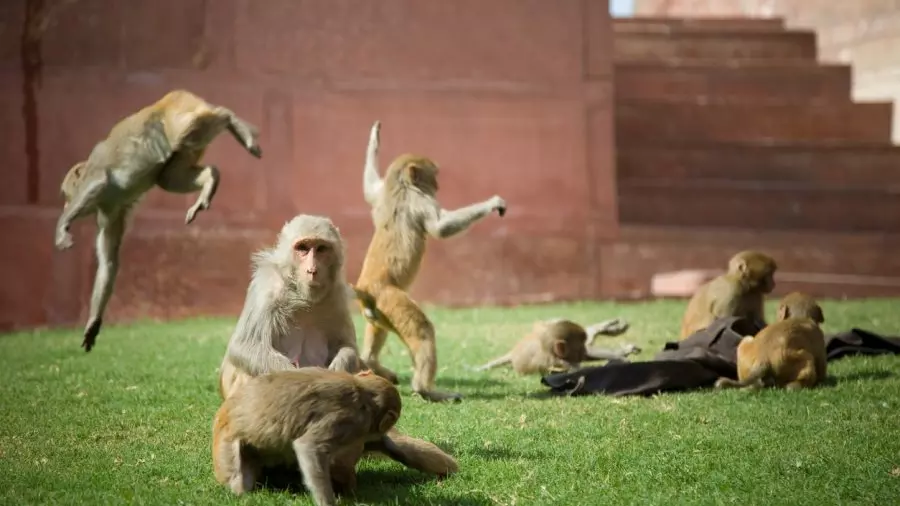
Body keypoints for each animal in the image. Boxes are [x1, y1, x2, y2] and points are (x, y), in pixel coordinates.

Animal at [55, 89, 262, 352]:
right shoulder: (110, 214)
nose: (64, 204)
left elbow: (98, 182)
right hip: (180, 147)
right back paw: (210, 178)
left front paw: (62, 227)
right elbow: (109, 263)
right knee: (169, 175)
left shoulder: (97, 178)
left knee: (196, 126)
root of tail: (172, 97)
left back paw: (232, 121)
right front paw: (93, 323)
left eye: (65, 194)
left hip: (177, 116)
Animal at [212, 368, 402, 505]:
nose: (383, 431)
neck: (361, 390)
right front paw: (327, 502)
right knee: (237, 479)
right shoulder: (348, 421)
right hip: (225, 443)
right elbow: (309, 446)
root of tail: (224, 412)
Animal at [216, 214, 458, 484]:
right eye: (302, 248)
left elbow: (348, 347)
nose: (312, 269)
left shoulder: (338, 293)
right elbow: (243, 348)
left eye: (321, 249)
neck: (300, 292)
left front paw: (339, 369)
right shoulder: (267, 286)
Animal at [354, 120, 507, 403]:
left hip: (377, 309)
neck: (401, 186)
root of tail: (365, 289)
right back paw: (426, 389)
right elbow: (441, 227)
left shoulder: (382, 193)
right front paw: (492, 203)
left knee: (377, 328)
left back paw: (371, 363)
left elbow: (369, 187)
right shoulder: (419, 201)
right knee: (423, 331)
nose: (437, 184)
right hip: (389, 297)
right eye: (433, 175)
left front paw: (374, 137)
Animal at [475, 318, 641, 376]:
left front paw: (621, 355)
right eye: (578, 346)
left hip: (541, 327)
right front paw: (621, 357)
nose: (583, 348)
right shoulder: (562, 363)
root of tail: (512, 352)